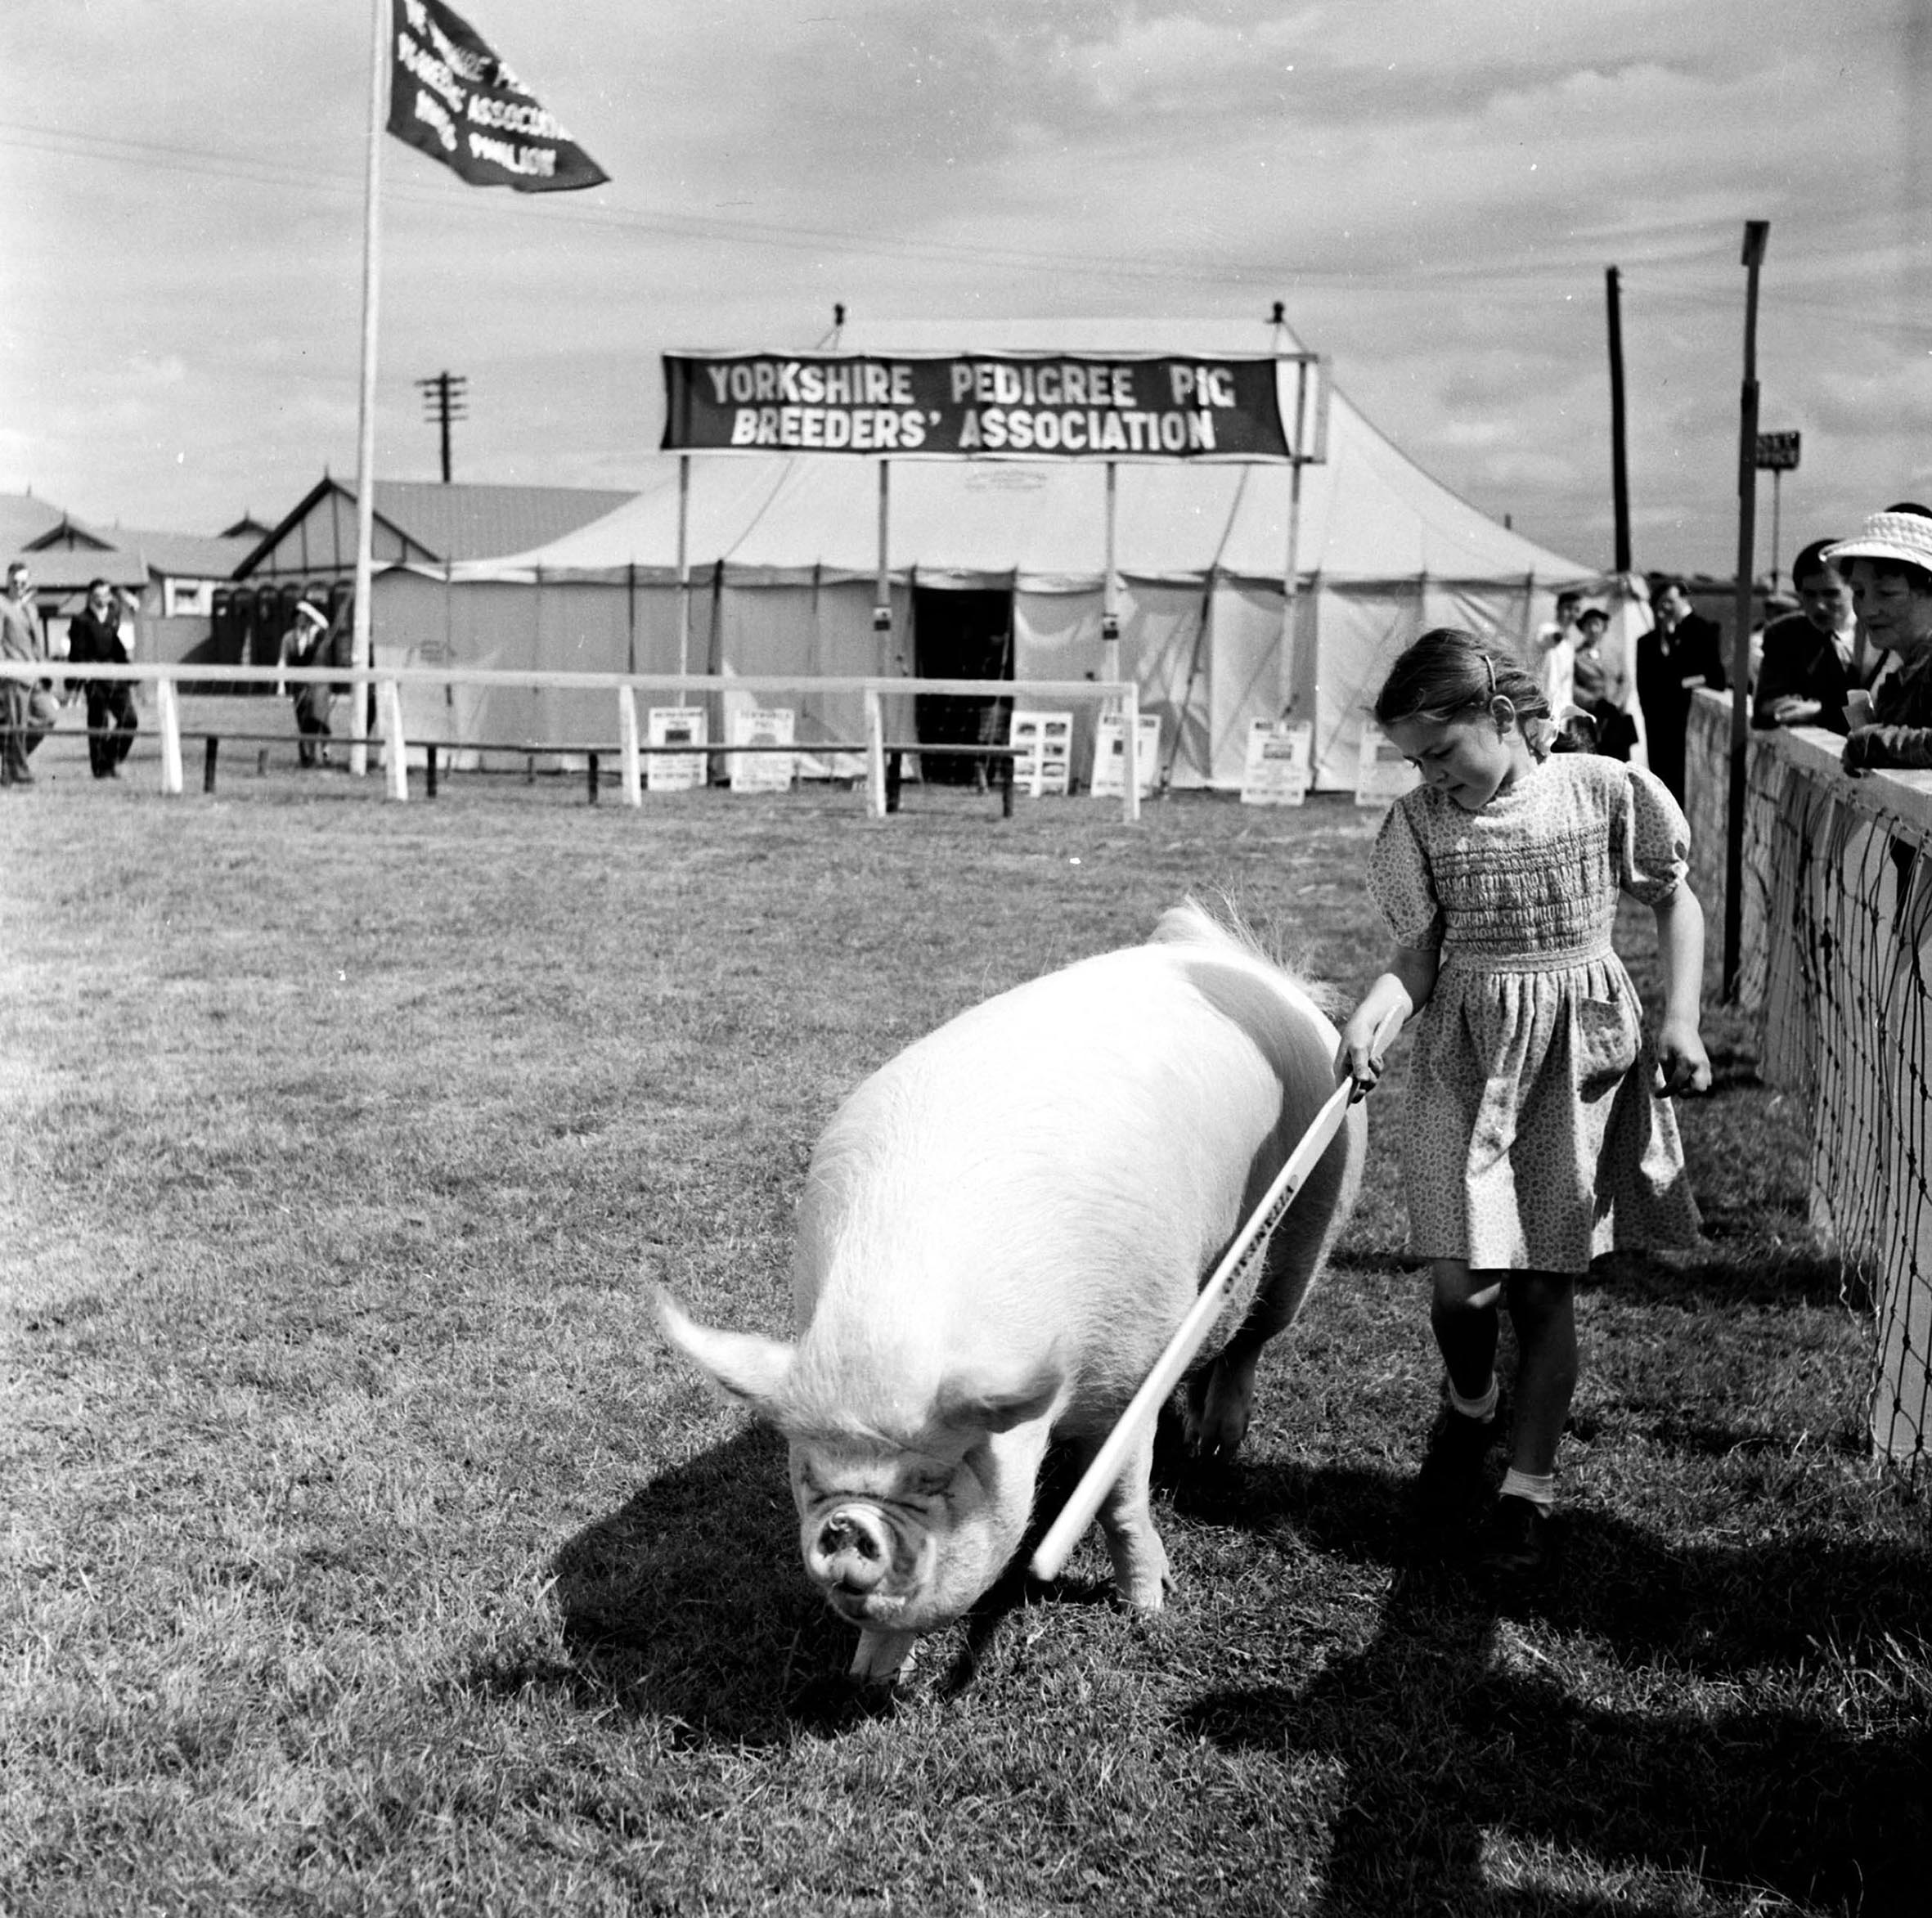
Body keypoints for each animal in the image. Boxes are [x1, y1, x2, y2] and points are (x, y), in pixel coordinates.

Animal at [657, 896, 1368, 1676]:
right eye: (811, 1475)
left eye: (938, 1478)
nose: (846, 1526)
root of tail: (1242, 961)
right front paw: (870, 1677)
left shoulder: (1131, 1372)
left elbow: (1120, 1500)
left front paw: (1148, 1609)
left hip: (1315, 1213)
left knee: (1255, 1336)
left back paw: (1217, 1444)